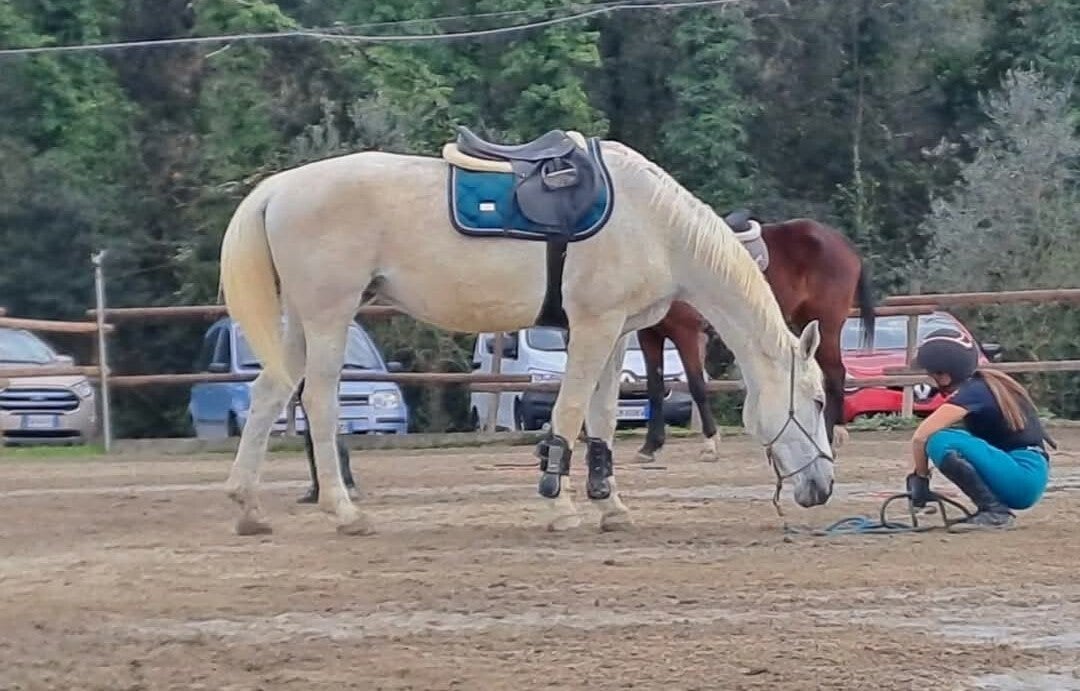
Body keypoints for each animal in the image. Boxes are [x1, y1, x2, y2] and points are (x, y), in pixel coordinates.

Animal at [217, 128, 835, 537]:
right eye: (816, 399)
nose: (823, 488)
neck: (653, 223)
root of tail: (279, 189)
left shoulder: (617, 333)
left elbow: (603, 417)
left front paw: (610, 505)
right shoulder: (592, 326)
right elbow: (569, 411)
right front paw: (560, 505)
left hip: (299, 321)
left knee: (269, 393)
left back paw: (248, 508)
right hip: (329, 315)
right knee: (319, 402)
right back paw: (344, 511)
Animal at [635, 217, 876, 462]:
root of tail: (843, 243)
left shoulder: (686, 332)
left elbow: (697, 385)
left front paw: (710, 443)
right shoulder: (648, 334)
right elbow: (655, 388)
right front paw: (650, 446)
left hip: (827, 324)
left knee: (835, 374)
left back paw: (830, 437)